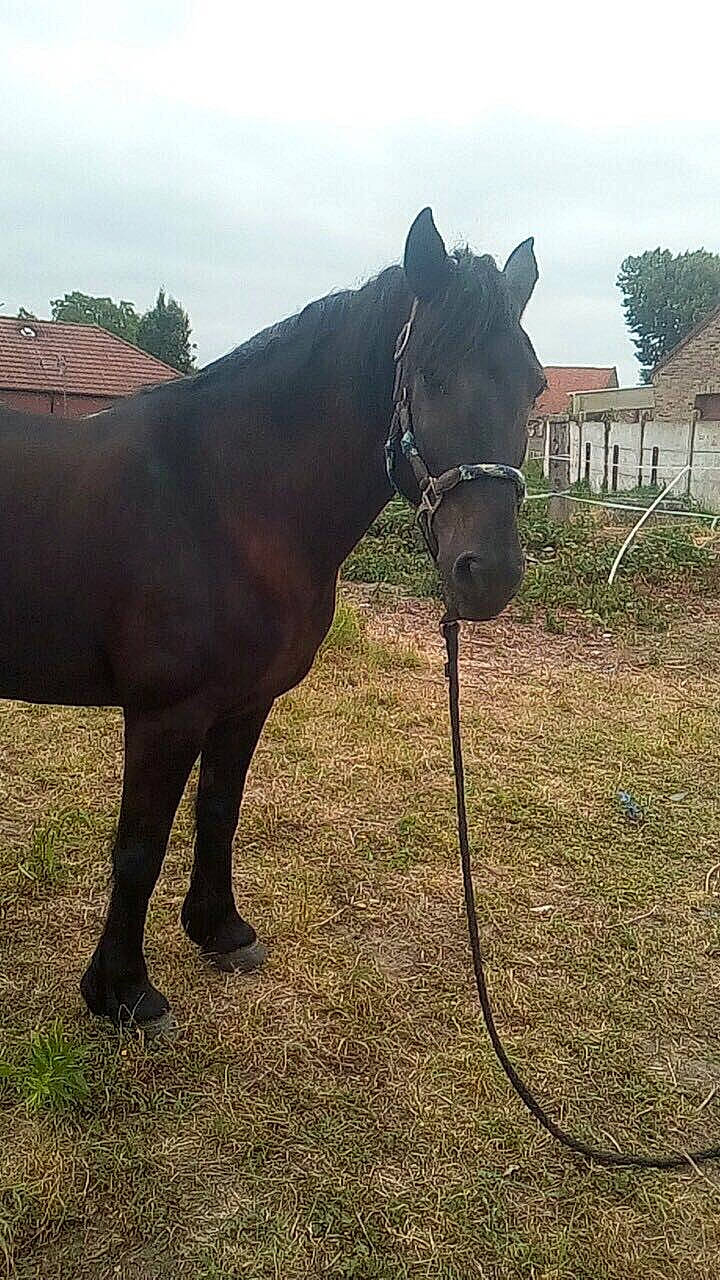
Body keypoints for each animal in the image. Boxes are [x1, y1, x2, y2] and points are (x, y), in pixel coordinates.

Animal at [0, 208, 545, 1031]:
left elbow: (218, 811)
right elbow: (139, 848)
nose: (491, 574)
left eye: (534, 384)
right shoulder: (164, 714)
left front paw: (219, 931)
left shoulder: (244, 702)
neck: (221, 499)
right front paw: (123, 993)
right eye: (432, 375)